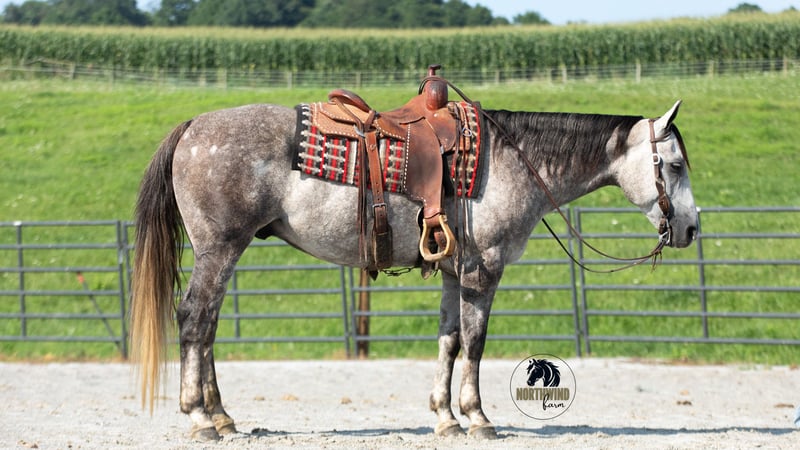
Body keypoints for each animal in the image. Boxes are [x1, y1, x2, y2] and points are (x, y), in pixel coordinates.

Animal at [129, 97, 697, 441]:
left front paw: (445, 418)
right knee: (194, 320)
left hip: (224, 253)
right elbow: (475, 343)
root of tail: (193, 127)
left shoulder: (452, 272)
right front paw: (477, 417)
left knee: (208, 328)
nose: (691, 228)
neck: (512, 160)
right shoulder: (482, 272)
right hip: (219, 250)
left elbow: (449, 340)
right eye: (673, 165)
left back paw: (222, 416)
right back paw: (200, 418)